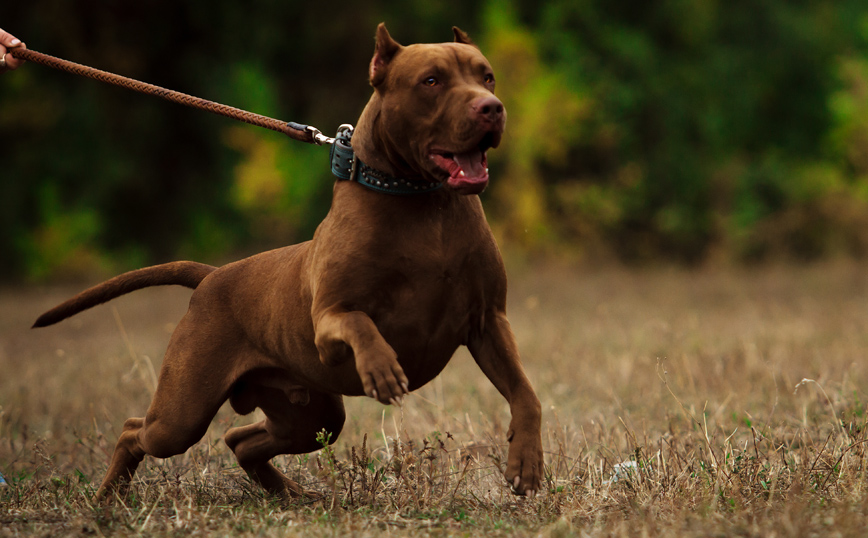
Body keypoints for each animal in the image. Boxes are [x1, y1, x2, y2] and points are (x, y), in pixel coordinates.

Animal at [34, 22, 544, 498]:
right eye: (432, 80)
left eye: (487, 76)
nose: (491, 107)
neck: (423, 201)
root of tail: (214, 275)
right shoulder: (328, 321)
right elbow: (362, 324)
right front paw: (381, 369)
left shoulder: (488, 321)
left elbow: (526, 393)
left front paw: (526, 463)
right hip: (183, 414)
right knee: (135, 432)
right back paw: (108, 499)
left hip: (312, 414)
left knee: (241, 441)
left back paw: (292, 494)